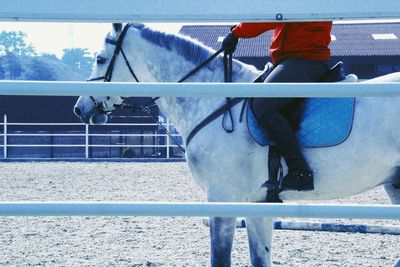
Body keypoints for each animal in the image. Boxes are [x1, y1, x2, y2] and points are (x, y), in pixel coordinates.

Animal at [73, 24, 400, 266]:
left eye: (100, 59)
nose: (80, 108)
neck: (213, 99)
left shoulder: (222, 196)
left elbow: (220, 257)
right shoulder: (257, 202)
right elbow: (259, 258)